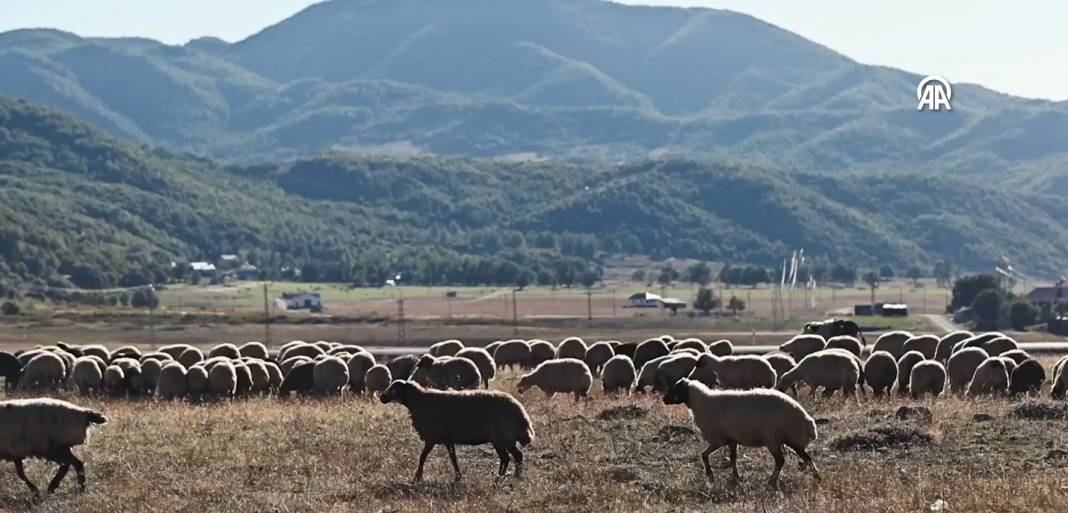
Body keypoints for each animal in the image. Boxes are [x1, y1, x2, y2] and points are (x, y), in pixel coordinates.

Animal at [382, 378, 534, 483]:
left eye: (394, 389)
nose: (382, 397)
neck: (418, 402)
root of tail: (519, 410)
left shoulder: (432, 437)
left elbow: (422, 456)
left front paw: (417, 477)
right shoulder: (447, 438)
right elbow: (453, 457)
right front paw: (458, 476)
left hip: (502, 436)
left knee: (512, 456)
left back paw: (503, 479)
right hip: (502, 437)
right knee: (510, 457)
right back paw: (508, 477)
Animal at [662, 378, 820, 487]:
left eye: (676, 389)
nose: (664, 399)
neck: (702, 403)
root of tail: (808, 422)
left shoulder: (718, 438)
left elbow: (704, 455)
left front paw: (710, 475)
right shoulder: (731, 439)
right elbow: (733, 458)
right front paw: (736, 477)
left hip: (774, 438)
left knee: (781, 460)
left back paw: (771, 481)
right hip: (791, 439)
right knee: (807, 458)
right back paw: (817, 477)